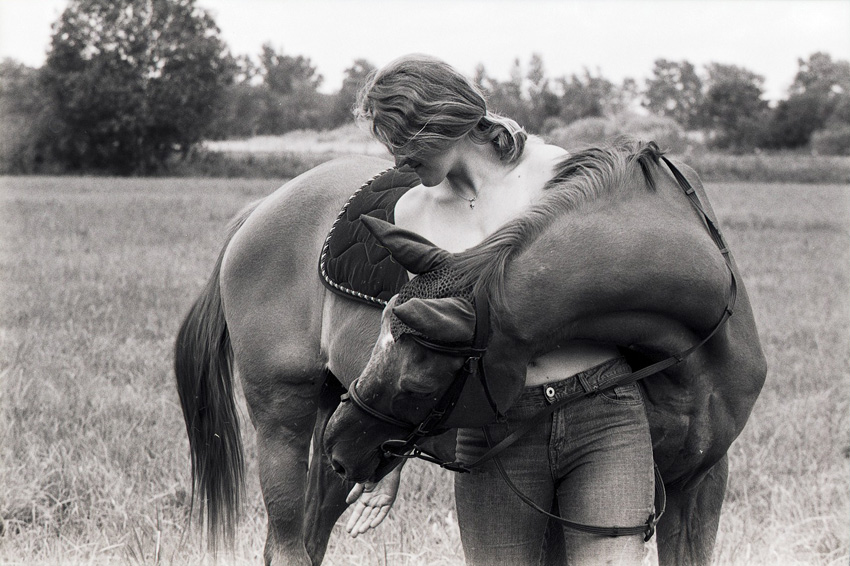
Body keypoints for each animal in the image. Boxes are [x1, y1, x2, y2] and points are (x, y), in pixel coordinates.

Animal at [176, 140, 764, 564]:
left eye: (417, 383)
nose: (342, 441)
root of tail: (261, 208)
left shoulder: (699, 481)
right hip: (285, 419)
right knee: (288, 547)